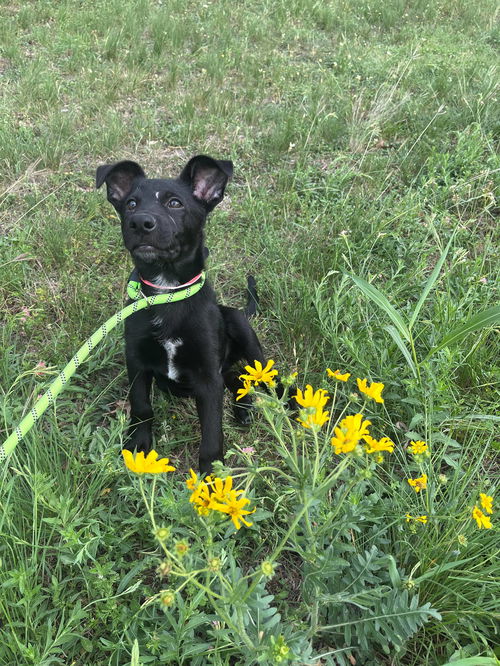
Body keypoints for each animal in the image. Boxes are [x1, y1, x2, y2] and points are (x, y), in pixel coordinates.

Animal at [95, 154, 264, 472]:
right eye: (131, 203)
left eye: (175, 203)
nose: (140, 222)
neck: (168, 293)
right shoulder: (136, 360)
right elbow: (142, 407)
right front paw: (138, 449)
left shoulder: (208, 377)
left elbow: (211, 432)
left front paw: (211, 476)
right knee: (236, 377)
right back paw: (243, 407)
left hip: (240, 327)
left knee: (265, 376)